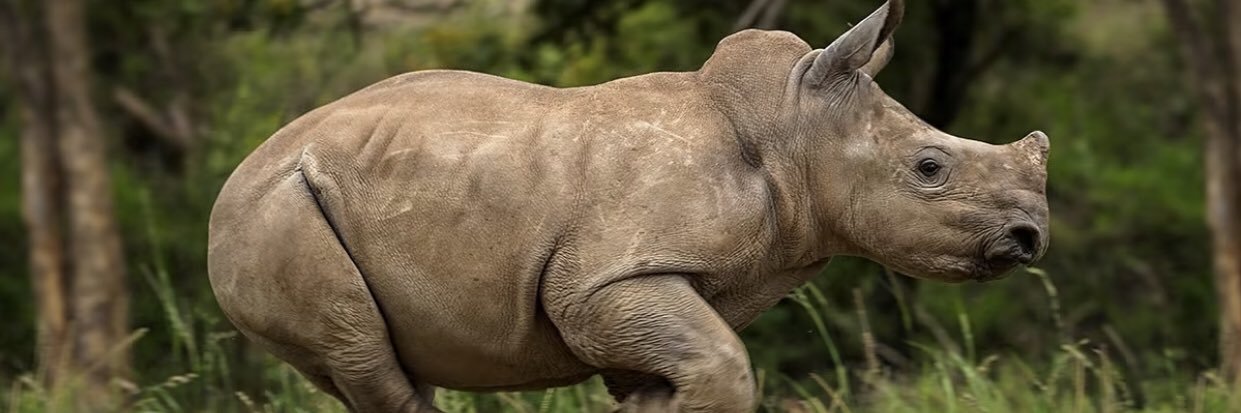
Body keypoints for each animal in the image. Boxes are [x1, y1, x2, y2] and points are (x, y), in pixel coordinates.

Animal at [207, 0, 1050, 411]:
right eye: (930, 167)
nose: (1030, 235)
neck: (789, 131)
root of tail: (233, 181)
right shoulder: (602, 279)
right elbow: (725, 365)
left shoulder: (646, 291)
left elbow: (683, 376)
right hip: (275, 212)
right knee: (363, 352)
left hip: (291, 207)